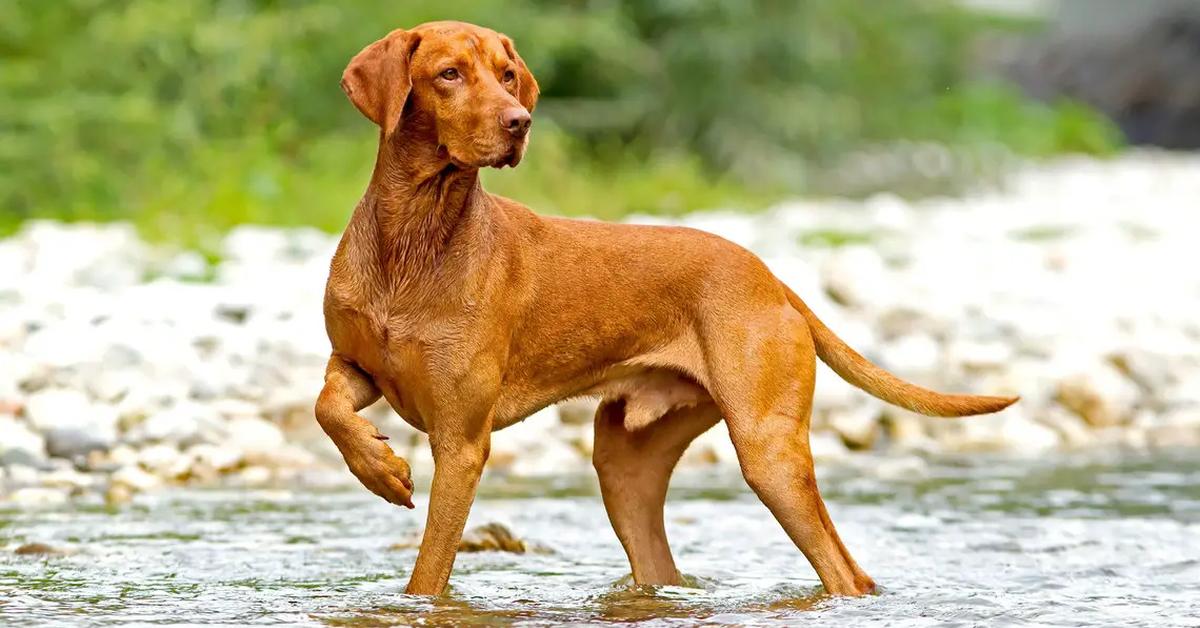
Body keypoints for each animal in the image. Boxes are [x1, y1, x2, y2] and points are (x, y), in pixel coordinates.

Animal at [314, 20, 1017, 600]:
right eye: (449, 74)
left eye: (507, 74)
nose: (519, 122)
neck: (414, 237)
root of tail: (772, 279)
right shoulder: (357, 364)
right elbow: (326, 408)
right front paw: (379, 469)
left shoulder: (462, 441)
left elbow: (428, 573)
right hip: (626, 466)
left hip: (767, 451)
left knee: (848, 573)